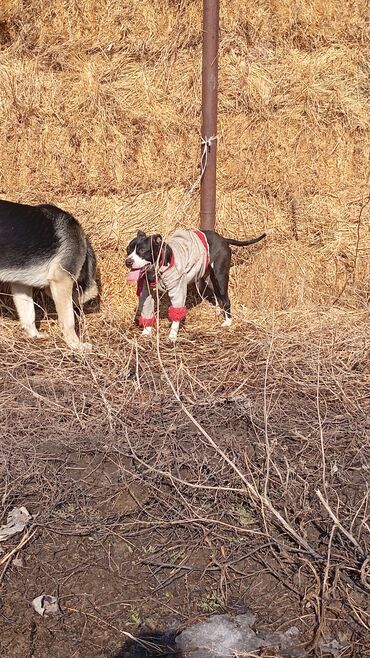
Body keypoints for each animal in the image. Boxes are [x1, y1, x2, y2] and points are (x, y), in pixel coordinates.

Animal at [0, 197, 97, 348]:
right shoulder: (62, 280)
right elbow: (68, 320)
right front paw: (75, 345)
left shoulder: (20, 285)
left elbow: (28, 313)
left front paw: (34, 335)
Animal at [126, 227, 266, 340]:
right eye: (127, 250)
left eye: (142, 250)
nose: (128, 261)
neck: (157, 268)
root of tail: (223, 239)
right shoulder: (145, 292)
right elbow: (147, 311)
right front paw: (146, 332)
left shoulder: (178, 289)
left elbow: (177, 313)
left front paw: (172, 335)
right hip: (209, 279)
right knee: (217, 296)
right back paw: (217, 313)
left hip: (220, 276)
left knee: (226, 299)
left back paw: (228, 322)